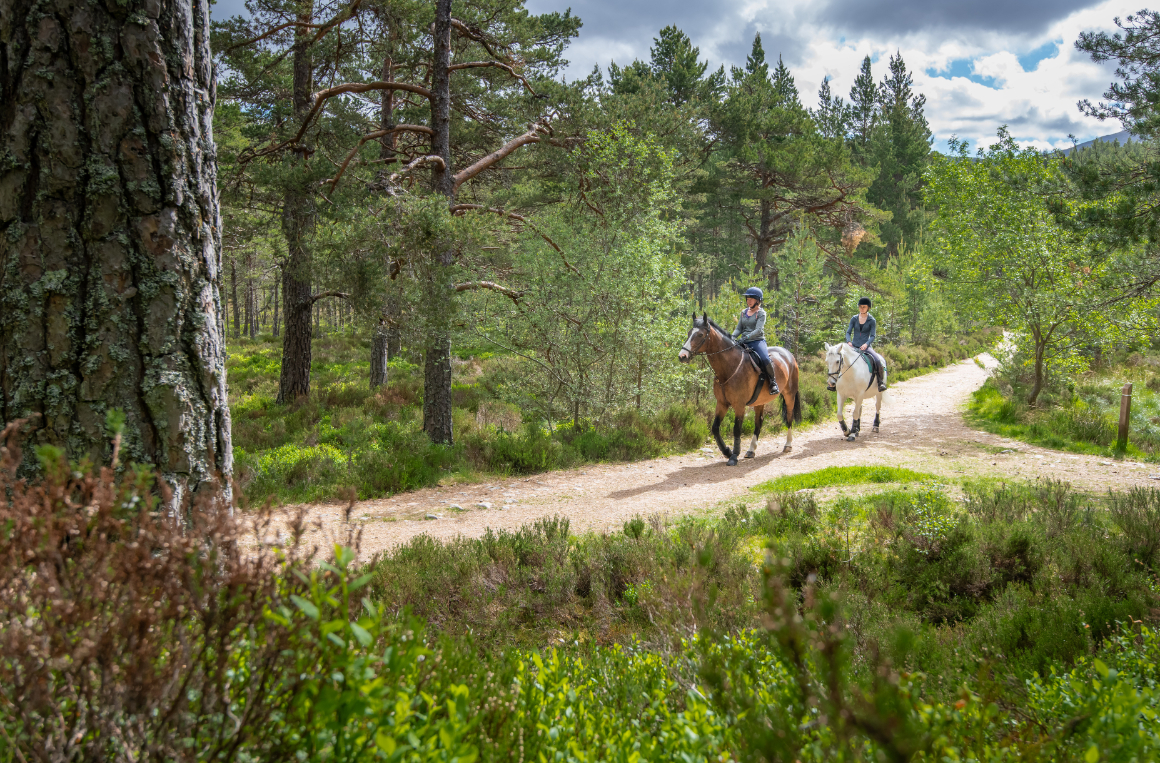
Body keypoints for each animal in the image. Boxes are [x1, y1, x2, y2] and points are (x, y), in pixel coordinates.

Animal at [677, 310, 802, 463]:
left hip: (789, 395)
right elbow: (715, 428)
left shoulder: (739, 405)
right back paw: (751, 450)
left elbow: (737, 429)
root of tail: (788, 354)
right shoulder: (722, 403)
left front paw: (734, 455)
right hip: (760, 401)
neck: (729, 368)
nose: (682, 356)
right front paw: (727, 451)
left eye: (700, 334)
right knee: (759, 422)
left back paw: (788, 445)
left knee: (789, 417)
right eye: (689, 333)